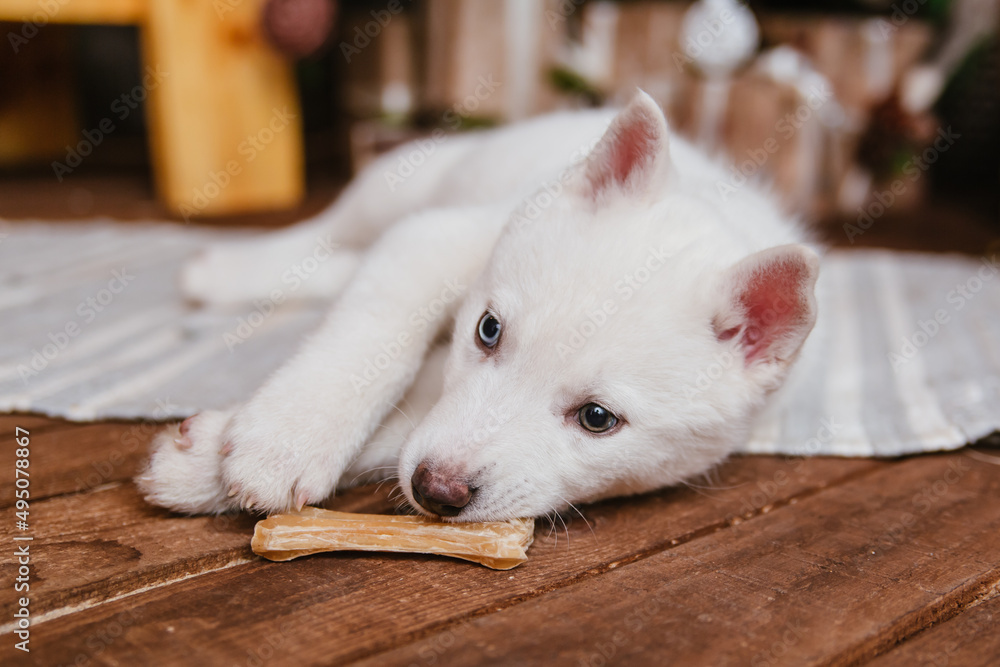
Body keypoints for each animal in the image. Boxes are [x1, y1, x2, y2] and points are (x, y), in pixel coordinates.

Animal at [137, 92, 816, 520]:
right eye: (488, 331)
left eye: (598, 419)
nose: (435, 492)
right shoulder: (436, 240)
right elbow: (372, 339)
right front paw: (283, 441)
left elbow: (413, 414)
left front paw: (204, 463)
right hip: (398, 186)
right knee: (324, 235)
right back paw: (220, 271)